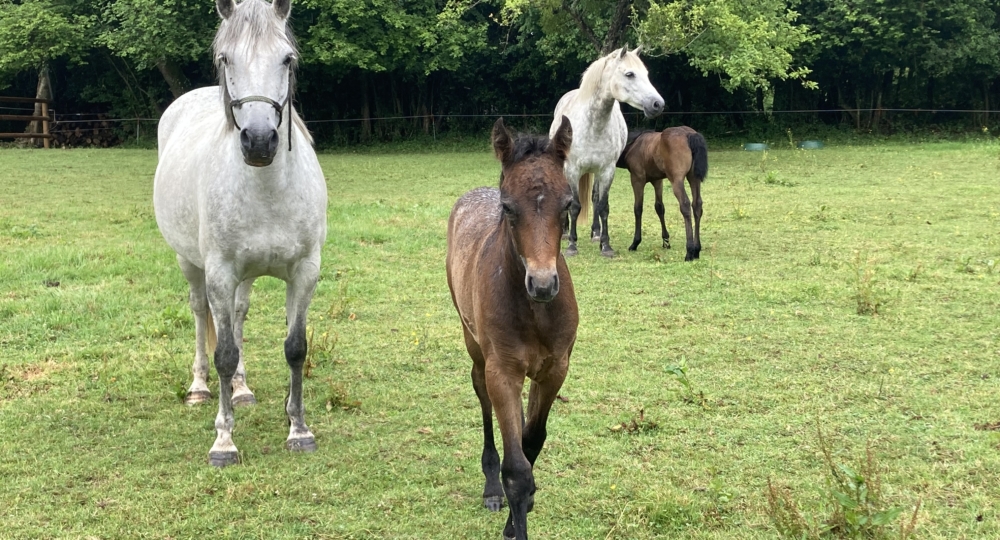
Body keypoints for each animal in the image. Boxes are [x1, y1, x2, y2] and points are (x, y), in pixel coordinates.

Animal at [152, 0, 326, 466]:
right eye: (225, 59)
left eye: (287, 59)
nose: (260, 141)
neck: (267, 190)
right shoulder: (219, 273)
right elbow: (224, 352)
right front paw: (224, 441)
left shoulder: (305, 272)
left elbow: (295, 347)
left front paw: (298, 429)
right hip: (190, 264)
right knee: (200, 314)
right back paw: (199, 388)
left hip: (245, 276)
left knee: (239, 314)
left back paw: (243, 390)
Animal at [446, 118, 580, 540]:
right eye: (507, 207)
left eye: (568, 204)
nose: (543, 284)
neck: (535, 312)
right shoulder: (502, 371)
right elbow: (517, 470)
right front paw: (512, 520)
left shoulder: (555, 370)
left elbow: (531, 443)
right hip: (475, 347)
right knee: (484, 401)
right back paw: (491, 487)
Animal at [548, 46, 664, 258]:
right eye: (629, 74)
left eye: (646, 74)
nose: (658, 104)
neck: (592, 125)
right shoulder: (572, 169)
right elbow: (575, 205)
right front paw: (571, 246)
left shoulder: (607, 170)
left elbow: (603, 206)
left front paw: (606, 245)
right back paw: (566, 232)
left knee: (594, 198)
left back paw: (595, 233)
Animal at [612, 126, 708, 262]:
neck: (634, 144)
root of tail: (689, 134)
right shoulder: (657, 180)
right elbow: (659, 207)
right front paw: (666, 241)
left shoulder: (637, 179)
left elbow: (638, 208)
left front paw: (635, 243)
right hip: (694, 178)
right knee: (697, 205)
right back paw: (697, 250)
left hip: (676, 180)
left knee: (685, 205)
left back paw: (689, 252)